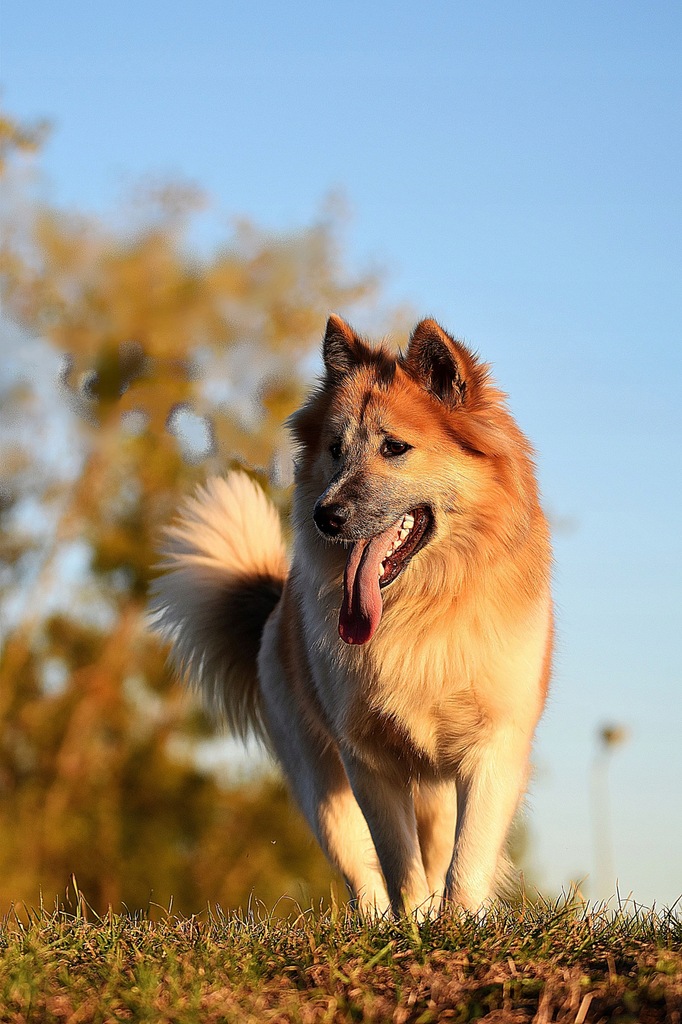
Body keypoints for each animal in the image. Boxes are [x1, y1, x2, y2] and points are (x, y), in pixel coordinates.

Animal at [150, 315, 552, 917]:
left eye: (395, 447)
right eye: (336, 449)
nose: (326, 516)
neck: (423, 610)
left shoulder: (493, 747)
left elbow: (465, 862)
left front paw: (458, 922)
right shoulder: (368, 761)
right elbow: (399, 865)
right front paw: (414, 925)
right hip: (320, 786)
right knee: (363, 877)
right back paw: (381, 926)